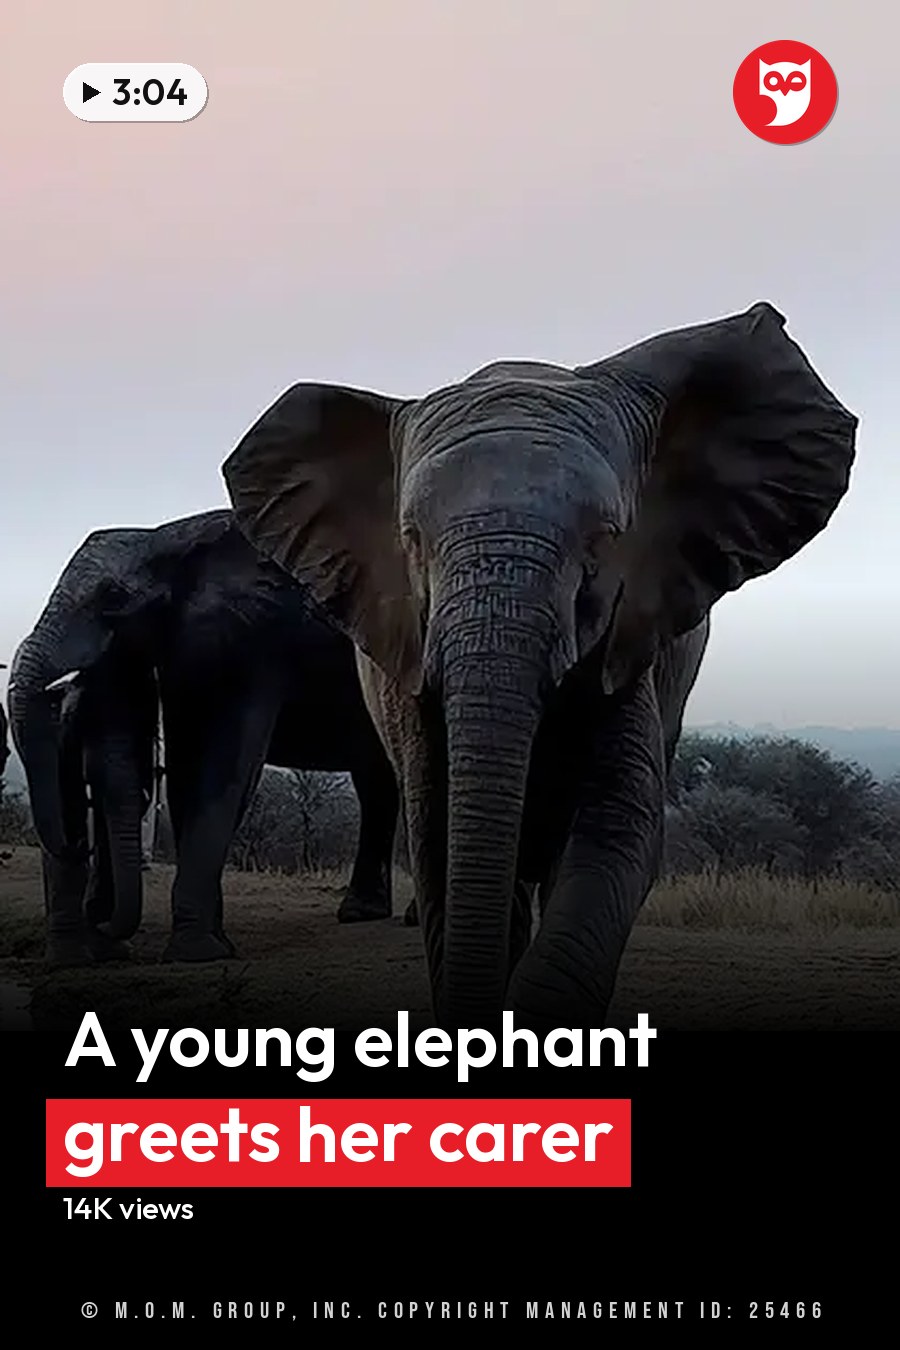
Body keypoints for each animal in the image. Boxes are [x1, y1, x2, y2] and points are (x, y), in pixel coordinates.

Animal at [7, 509, 400, 966]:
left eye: (113, 596)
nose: (75, 847)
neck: (170, 537)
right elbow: (185, 768)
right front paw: (214, 945)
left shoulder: (257, 637)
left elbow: (223, 762)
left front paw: (196, 953)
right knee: (377, 780)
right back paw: (361, 913)